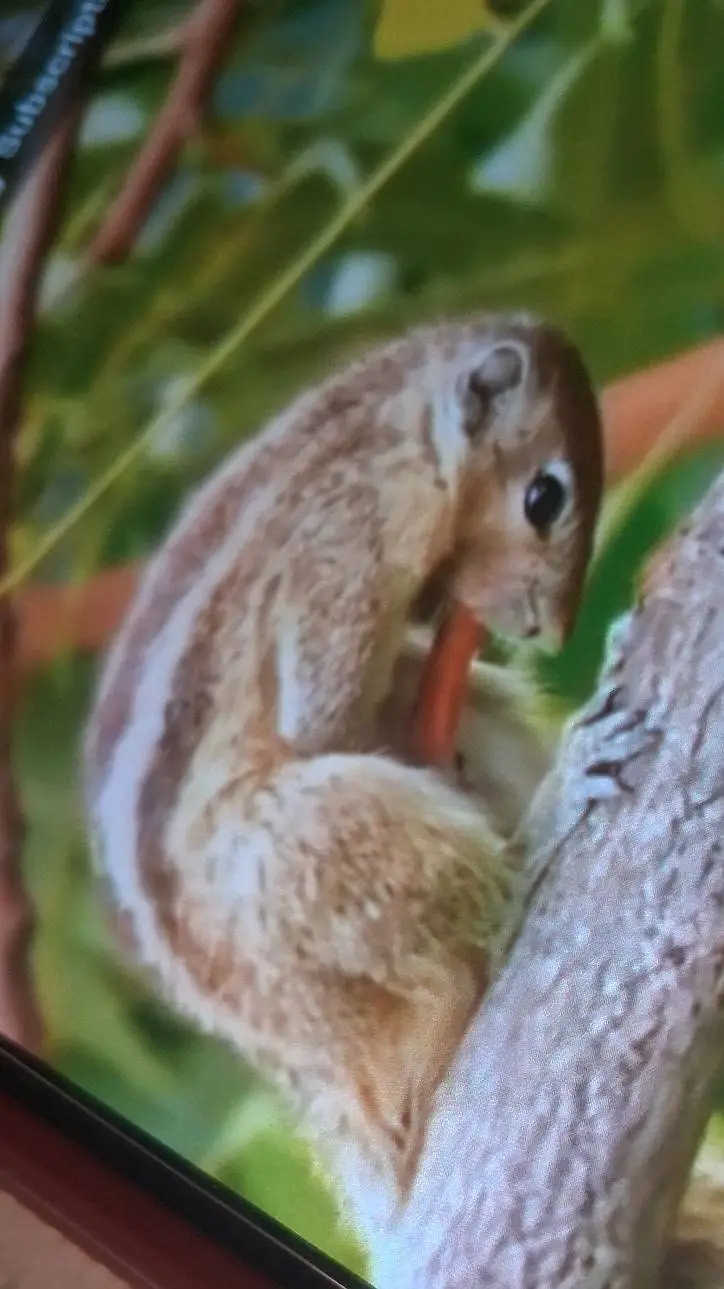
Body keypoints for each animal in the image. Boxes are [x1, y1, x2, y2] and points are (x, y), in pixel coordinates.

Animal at [82, 312, 604, 1231]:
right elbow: (326, 723)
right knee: (482, 904)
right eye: (545, 497)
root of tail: (325, 1060)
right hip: (321, 848)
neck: (394, 420)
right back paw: (555, 810)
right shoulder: (348, 547)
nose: (548, 630)